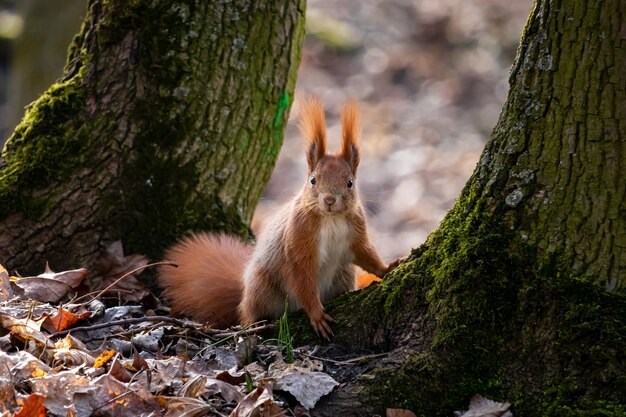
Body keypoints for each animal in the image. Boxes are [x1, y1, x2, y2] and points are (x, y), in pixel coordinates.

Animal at [157, 97, 400, 338]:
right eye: (313, 180)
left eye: (350, 183)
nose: (329, 200)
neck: (330, 219)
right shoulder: (298, 239)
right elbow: (303, 278)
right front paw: (317, 315)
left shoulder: (356, 230)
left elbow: (366, 254)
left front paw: (388, 267)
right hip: (263, 289)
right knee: (249, 313)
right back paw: (251, 323)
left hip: (342, 276)